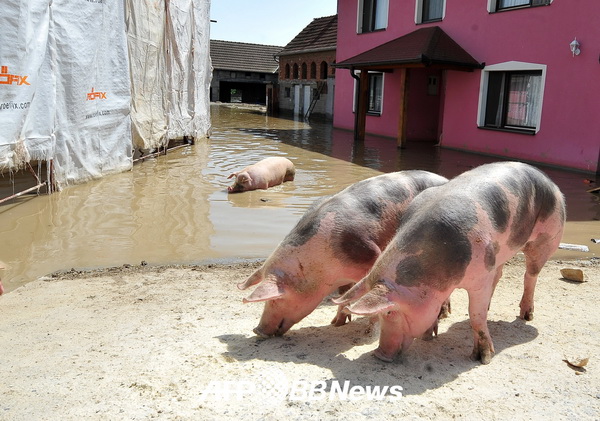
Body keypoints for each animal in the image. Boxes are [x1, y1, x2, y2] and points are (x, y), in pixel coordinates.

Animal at [237, 169, 448, 336]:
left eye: (274, 300)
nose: (258, 330)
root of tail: (444, 178)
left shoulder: (369, 254)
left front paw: (367, 331)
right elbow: (344, 294)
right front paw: (336, 323)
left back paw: (443, 316)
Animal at [336, 161, 564, 364]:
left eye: (390, 312)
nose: (379, 354)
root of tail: (549, 180)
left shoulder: (480, 276)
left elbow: (476, 315)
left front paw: (482, 358)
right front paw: (430, 335)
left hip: (548, 236)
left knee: (531, 274)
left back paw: (526, 316)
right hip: (498, 252)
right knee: (499, 274)